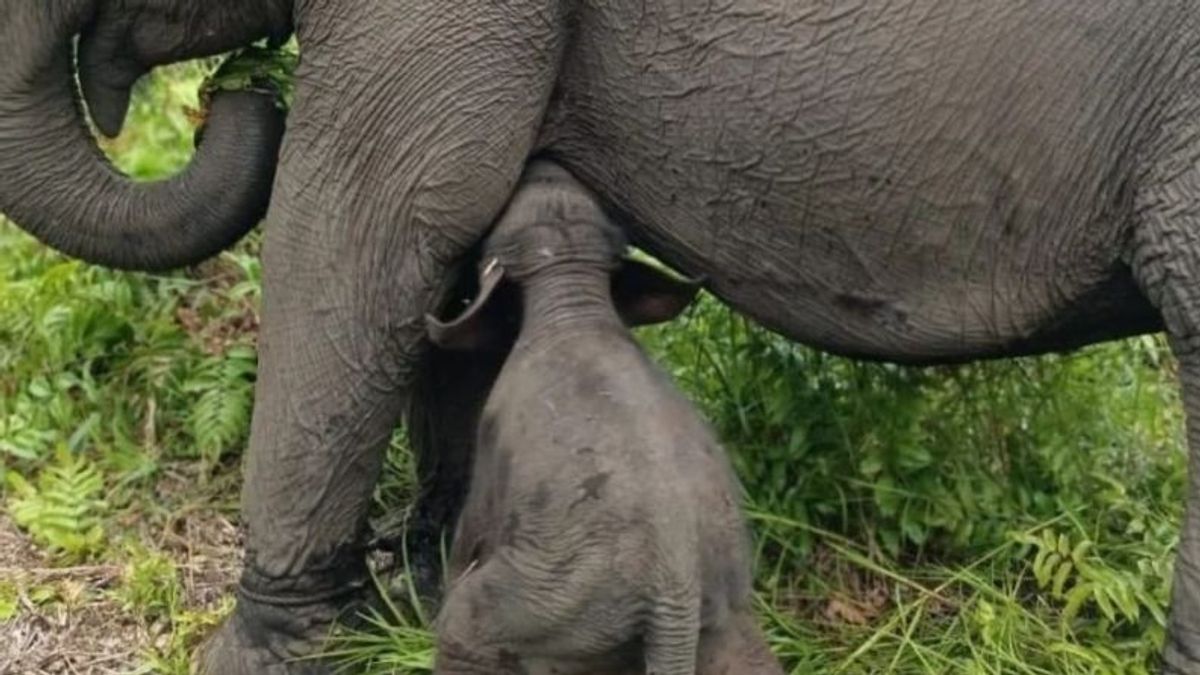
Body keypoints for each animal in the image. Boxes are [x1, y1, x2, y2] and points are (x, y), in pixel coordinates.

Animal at [427, 158, 782, 672]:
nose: (542, 161)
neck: (571, 289)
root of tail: (674, 594)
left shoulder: (494, 438)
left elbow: (470, 529)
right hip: (724, 620)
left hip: (554, 604)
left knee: (463, 624)